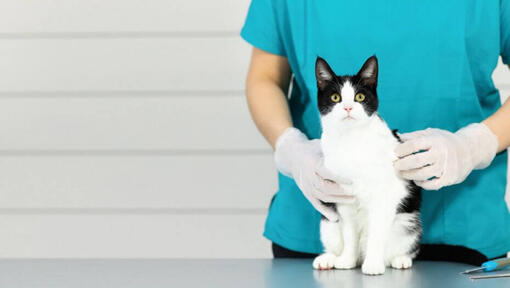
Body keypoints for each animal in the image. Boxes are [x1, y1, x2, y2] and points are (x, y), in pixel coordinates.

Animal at [312, 55, 420, 274]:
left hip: (407, 222)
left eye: (360, 97)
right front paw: (346, 260)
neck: (352, 140)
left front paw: (373, 265)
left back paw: (399, 259)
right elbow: (349, 234)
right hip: (328, 223)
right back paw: (329, 259)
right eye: (335, 98)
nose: (348, 107)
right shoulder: (343, 199)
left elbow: (377, 232)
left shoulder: (384, 196)